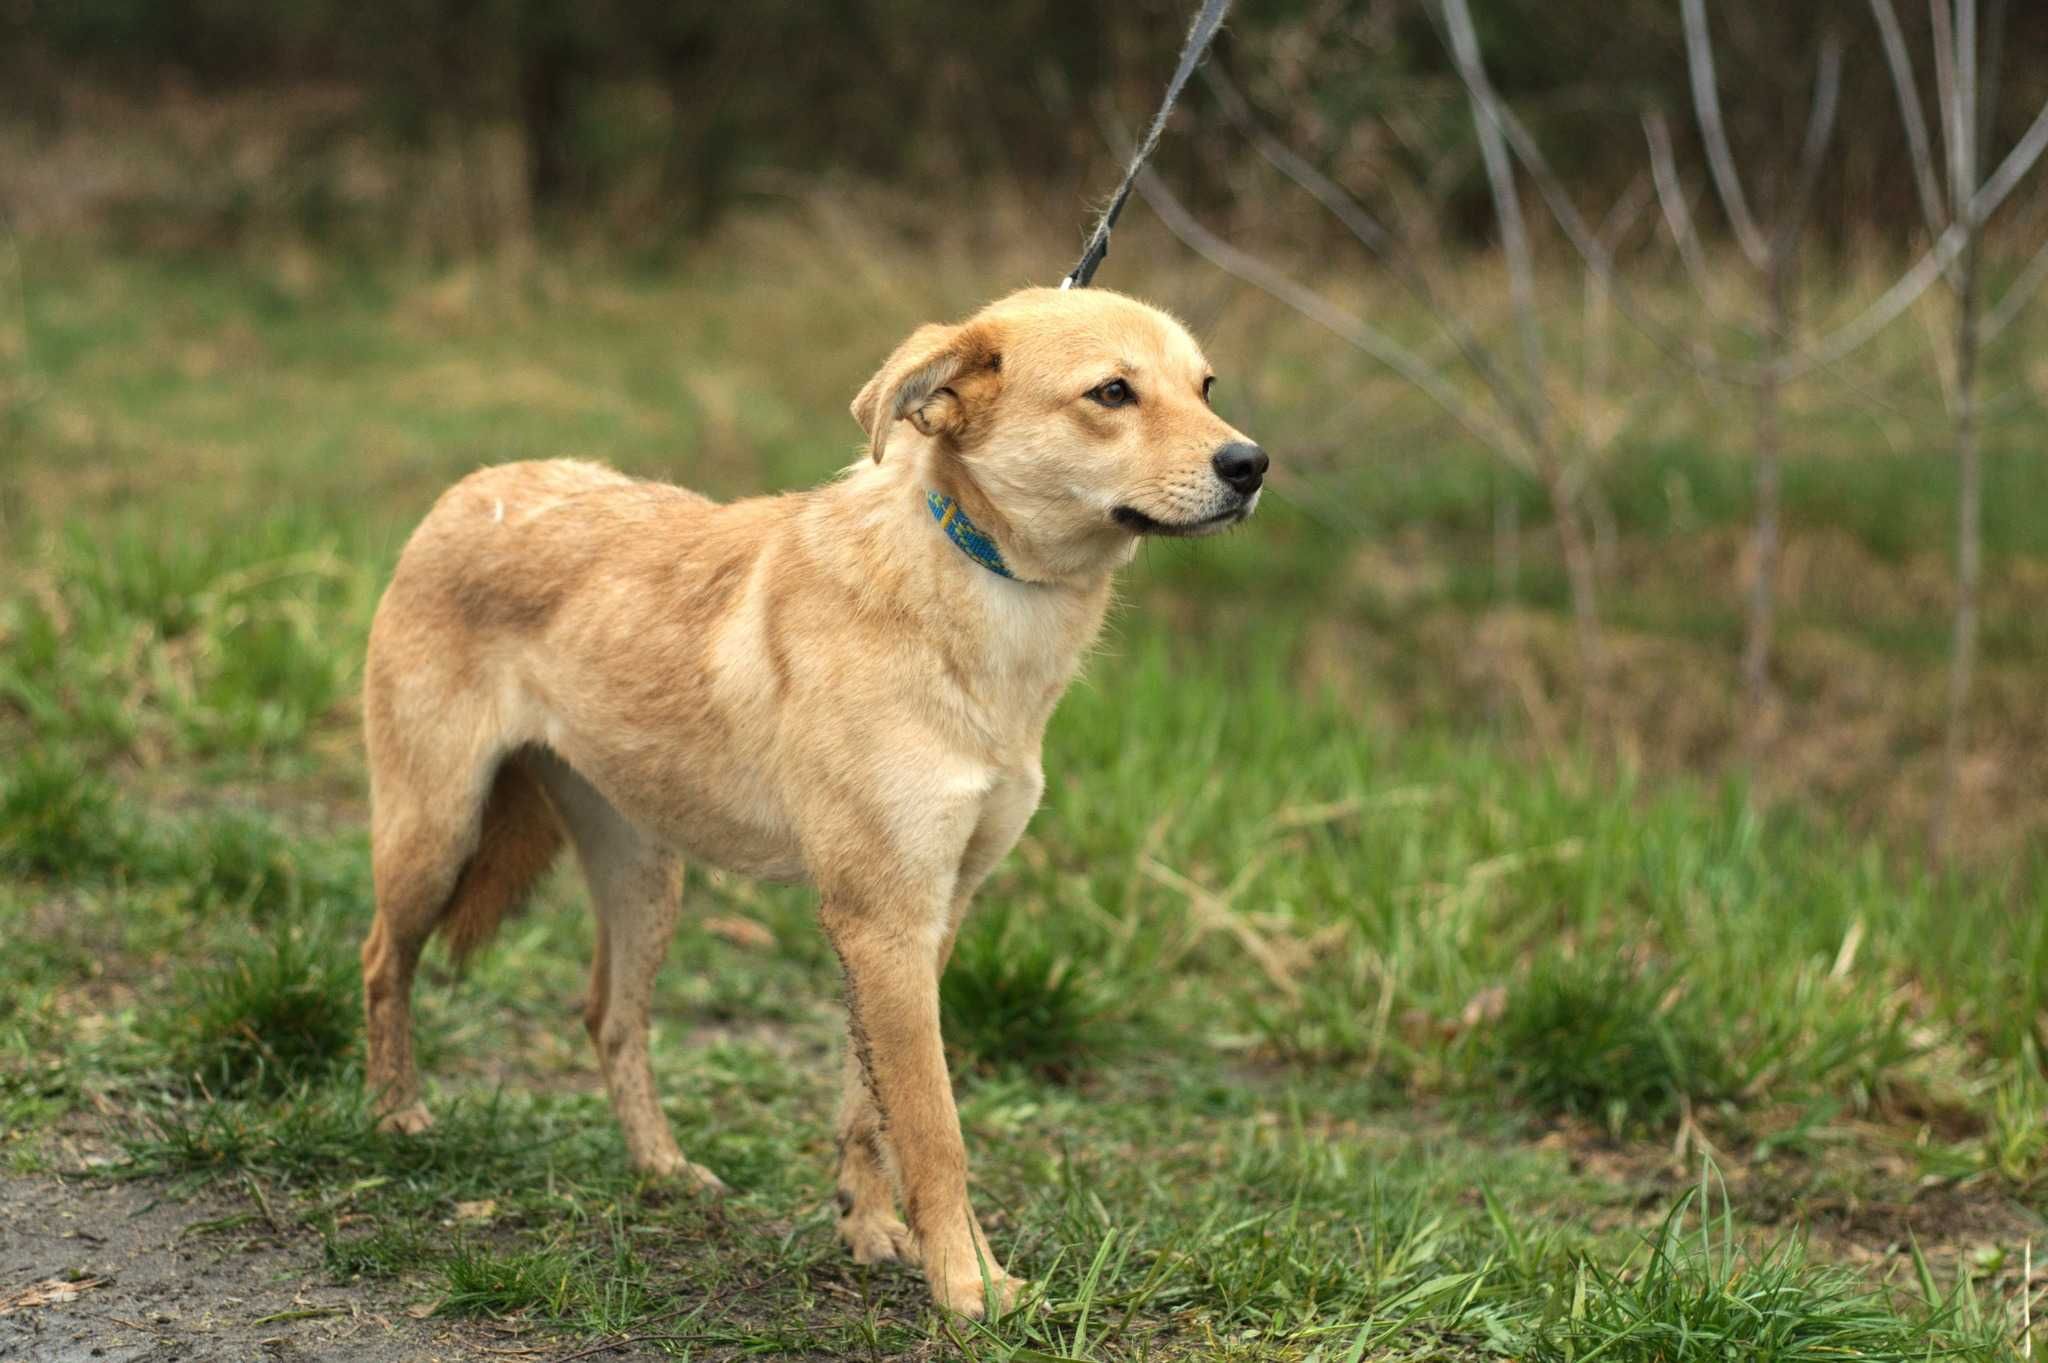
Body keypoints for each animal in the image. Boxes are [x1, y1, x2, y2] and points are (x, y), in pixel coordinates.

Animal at [360, 280, 1269, 1309]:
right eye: (1113, 392)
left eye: (1204, 386)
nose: (1252, 464)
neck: (981, 590)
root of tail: (474, 486)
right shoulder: (882, 920)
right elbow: (936, 1130)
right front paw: (972, 1285)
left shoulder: (928, 915)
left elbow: (869, 1104)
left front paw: (870, 1227)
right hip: (434, 835)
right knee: (382, 962)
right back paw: (397, 1118)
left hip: (645, 875)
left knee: (609, 1015)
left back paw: (661, 1169)